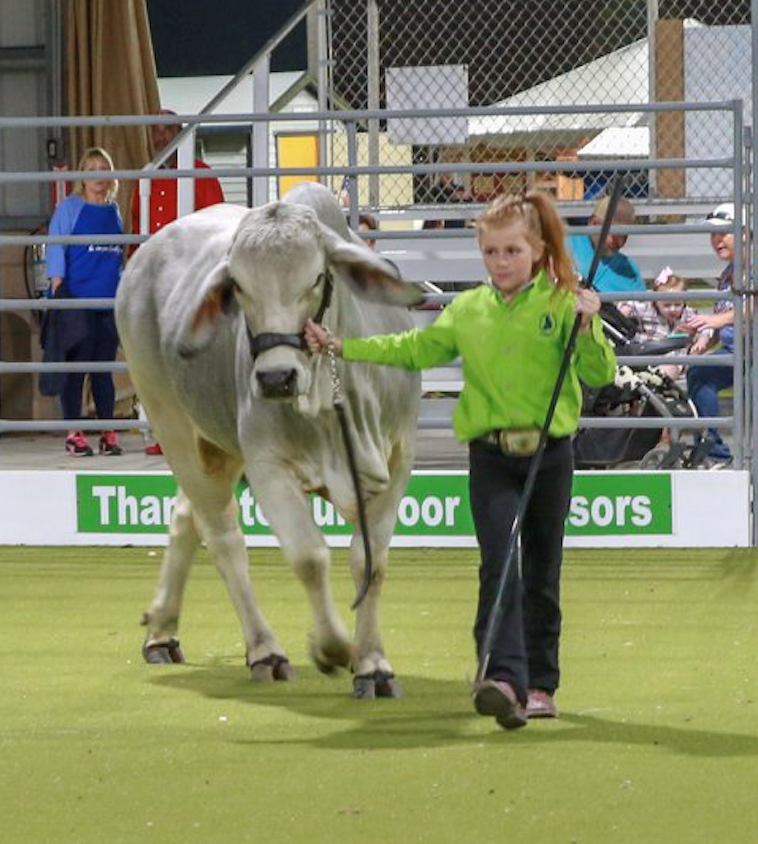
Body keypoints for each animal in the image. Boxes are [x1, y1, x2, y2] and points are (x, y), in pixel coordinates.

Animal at [115, 181, 422, 696]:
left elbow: (370, 563)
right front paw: (334, 647)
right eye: (237, 285)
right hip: (171, 422)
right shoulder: (267, 466)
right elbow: (309, 557)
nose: (276, 377)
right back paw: (263, 650)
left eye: (316, 277)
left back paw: (161, 630)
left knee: (186, 517)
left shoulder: (398, 461)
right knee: (222, 537)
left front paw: (373, 664)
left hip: (219, 447)